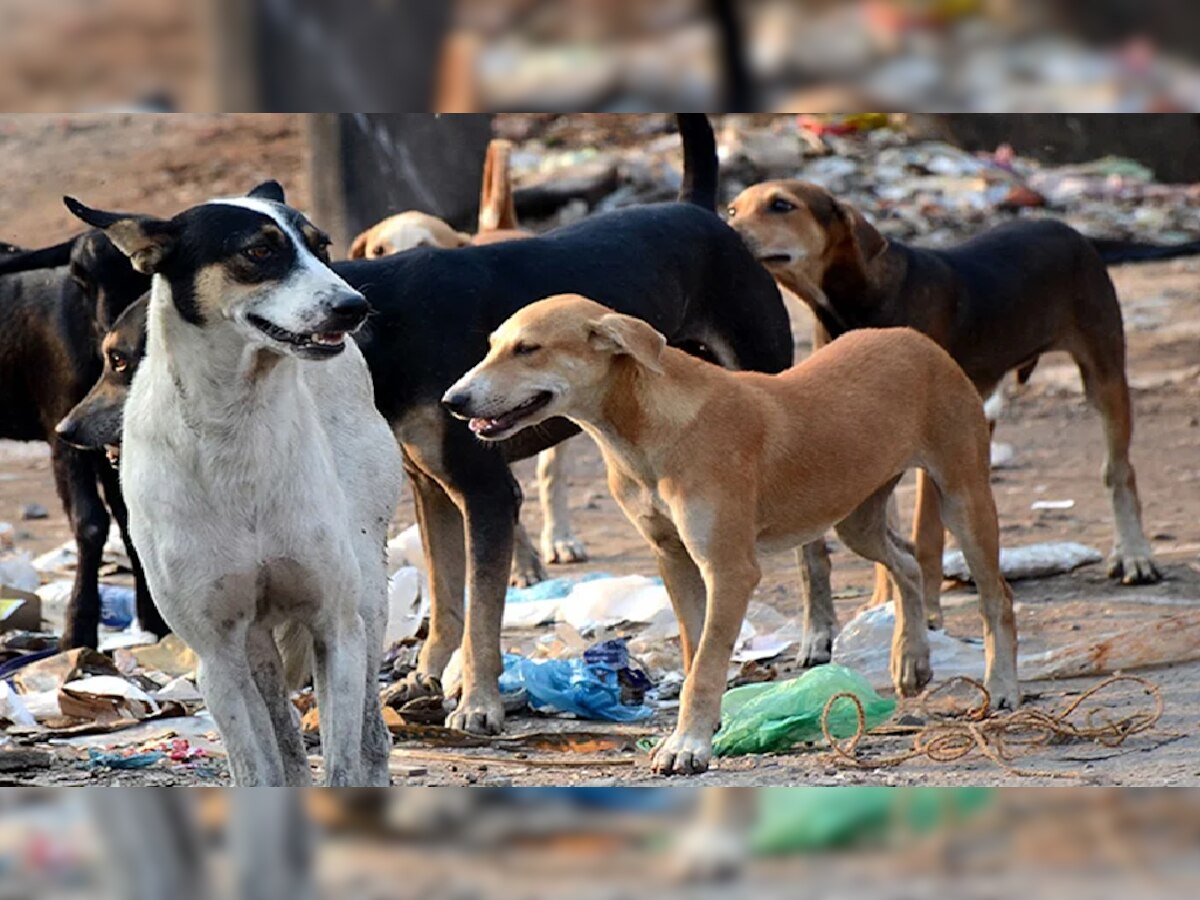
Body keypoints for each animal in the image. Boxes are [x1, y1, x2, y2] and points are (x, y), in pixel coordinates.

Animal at [0, 229, 165, 643]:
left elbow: (129, 520)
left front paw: (154, 620)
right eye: (79, 274)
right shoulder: (63, 432)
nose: (115, 337)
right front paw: (78, 630)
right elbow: (91, 523)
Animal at [68, 184, 400, 787]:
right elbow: (257, 767)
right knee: (284, 743)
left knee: (370, 734)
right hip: (254, 643)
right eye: (260, 252)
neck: (236, 423)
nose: (355, 307)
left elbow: (343, 763)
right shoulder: (218, 654)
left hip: (366, 591)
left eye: (322, 247)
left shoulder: (335, 628)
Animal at [446, 296, 1017, 777]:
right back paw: (911, 658)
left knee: (997, 597)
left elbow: (705, 664)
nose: (454, 399)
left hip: (963, 496)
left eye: (528, 349)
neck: (646, 430)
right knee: (907, 563)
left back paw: (1002, 686)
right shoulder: (673, 558)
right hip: (855, 516)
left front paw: (687, 746)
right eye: (492, 345)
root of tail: (915, 339)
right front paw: (703, 729)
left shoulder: (729, 568)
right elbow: (696, 648)